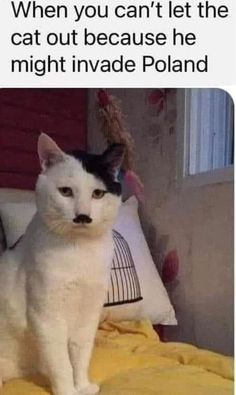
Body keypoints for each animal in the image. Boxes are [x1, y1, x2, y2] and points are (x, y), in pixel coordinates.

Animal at [0, 134, 125, 395]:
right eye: (66, 191)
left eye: (98, 194)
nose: (83, 216)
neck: (79, 252)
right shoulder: (46, 318)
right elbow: (60, 363)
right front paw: (68, 391)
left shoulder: (88, 316)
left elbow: (80, 355)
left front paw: (83, 386)